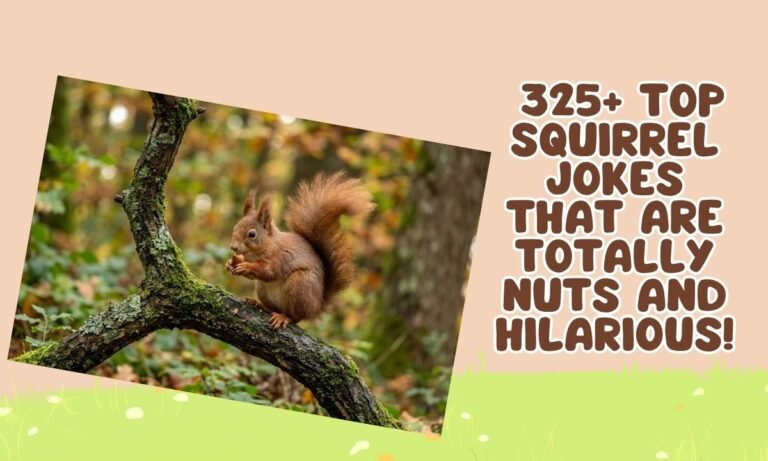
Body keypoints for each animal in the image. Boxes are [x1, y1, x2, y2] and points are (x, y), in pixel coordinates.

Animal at [226, 172, 374, 329]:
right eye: (235, 227)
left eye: (252, 234)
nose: (233, 247)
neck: (267, 246)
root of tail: (316, 307)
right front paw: (229, 264)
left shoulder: (282, 257)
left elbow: (269, 271)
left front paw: (246, 267)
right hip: (262, 289)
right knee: (272, 308)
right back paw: (258, 303)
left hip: (299, 286)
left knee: (296, 316)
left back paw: (284, 317)